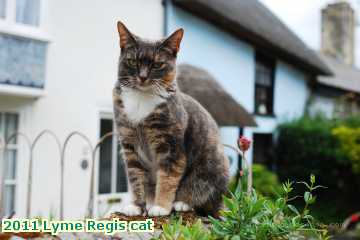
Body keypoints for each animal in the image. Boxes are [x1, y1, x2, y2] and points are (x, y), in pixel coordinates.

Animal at [114, 21, 229, 218]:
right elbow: (136, 177)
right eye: (132, 61)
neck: (141, 99)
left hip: (212, 167)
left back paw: (182, 203)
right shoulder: (129, 144)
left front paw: (161, 206)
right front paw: (137, 206)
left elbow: (168, 176)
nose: (142, 77)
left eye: (157, 64)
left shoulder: (171, 145)